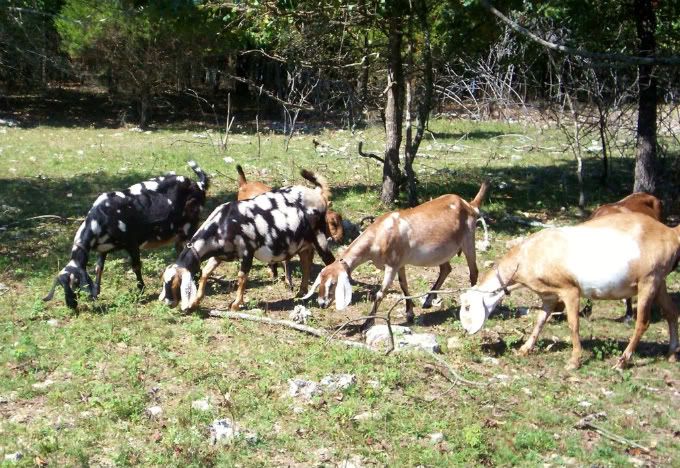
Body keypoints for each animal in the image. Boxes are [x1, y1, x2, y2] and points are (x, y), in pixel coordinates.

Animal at [44, 161, 209, 308]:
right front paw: (96, 292)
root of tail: (198, 185)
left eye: (75, 282)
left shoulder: (132, 243)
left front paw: (141, 290)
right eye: (60, 285)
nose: (71, 305)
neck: (102, 217)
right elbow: (99, 268)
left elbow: (136, 266)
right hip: (179, 234)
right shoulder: (103, 249)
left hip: (190, 227)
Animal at [159, 169, 335, 311]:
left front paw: (236, 304)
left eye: (173, 283)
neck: (223, 223)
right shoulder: (219, 255)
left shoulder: (246, 252)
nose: (167, 303)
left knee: (330, 262)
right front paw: (195, 302)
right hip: (304, 243)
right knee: (306, 261)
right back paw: (301, 292)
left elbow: (242, 278)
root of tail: (318, 194)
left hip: (320, 237)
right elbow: (206, 273)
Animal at [304, 181, 490, 329]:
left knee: (473, 272)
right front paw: (409, 314)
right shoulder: (400, 264)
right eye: (320, 281)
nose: (321, 303)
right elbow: (404, 285)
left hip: (468, 240)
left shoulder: (392, 265)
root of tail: (469, 204)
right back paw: (427, 301)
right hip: (442, 252)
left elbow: (381, 293)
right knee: (446, 269)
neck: (380, 234)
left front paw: (367, 323)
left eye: (333, 283)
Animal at [459, 212, 680, 370]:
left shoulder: (569, 290)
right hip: (659, 281)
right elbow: (540, 320)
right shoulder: (548, 295)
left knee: (643, 322)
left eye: (468, 307)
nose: (467, 331)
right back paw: (671, 354)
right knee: (671, 312)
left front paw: (574, 361)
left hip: (648, 281)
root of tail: (669, 233)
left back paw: (623, 361)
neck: (529, 254)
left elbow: (573, 324)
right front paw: (525, 349)